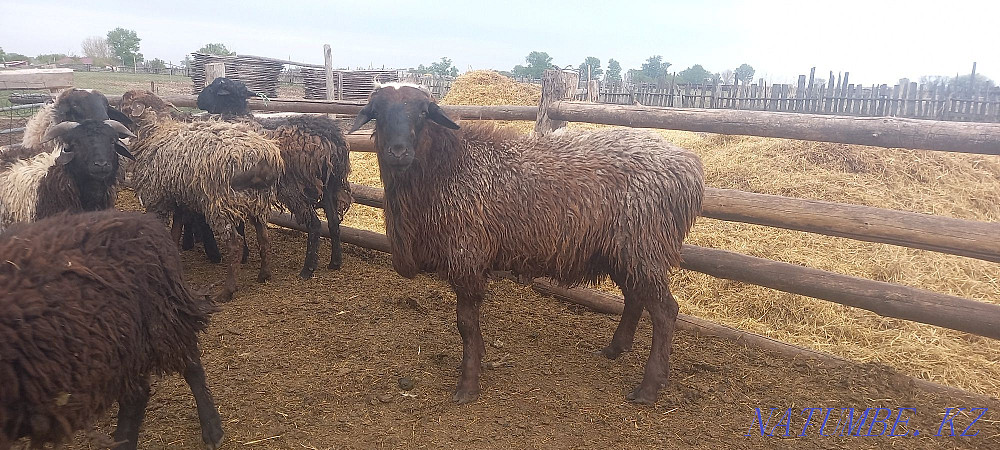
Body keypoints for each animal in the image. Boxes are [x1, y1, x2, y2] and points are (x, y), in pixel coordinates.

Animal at [0, 210, 224, 450]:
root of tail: (146, 221)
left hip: (162, 317)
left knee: (189, 365)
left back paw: (212, 429)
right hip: (124, 337)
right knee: (138, 393)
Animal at [119, 89, 284, 301]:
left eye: (124, 104)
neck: (156, 131)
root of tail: (265, 158)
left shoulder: (157, 200)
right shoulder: (179, 200)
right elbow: (174, 233)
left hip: (220, 204)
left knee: (235, 244)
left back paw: (227, 291)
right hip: (257, 202)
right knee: (264, 238)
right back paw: (264, 275)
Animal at [192, 77, 353, 279]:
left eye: (213, 88)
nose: (199, 101)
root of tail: (332, 139)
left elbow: (240, 224)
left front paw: (244, 255)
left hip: (295, 187)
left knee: (315, 225)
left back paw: (307, 270)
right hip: (329, 185)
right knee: (333, 223)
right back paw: (335, 263)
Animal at [348, 84, 705, 405]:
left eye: (422, 113)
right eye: (377, 113)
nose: (398, 151)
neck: (446, 167)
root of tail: (690, 167)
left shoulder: (466, 254)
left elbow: (465, 323)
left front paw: (468, 385)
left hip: (643, 243)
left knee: (665, 312)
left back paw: (648, 388)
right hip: (624, 249)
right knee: (634, 298)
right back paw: (615, 349)